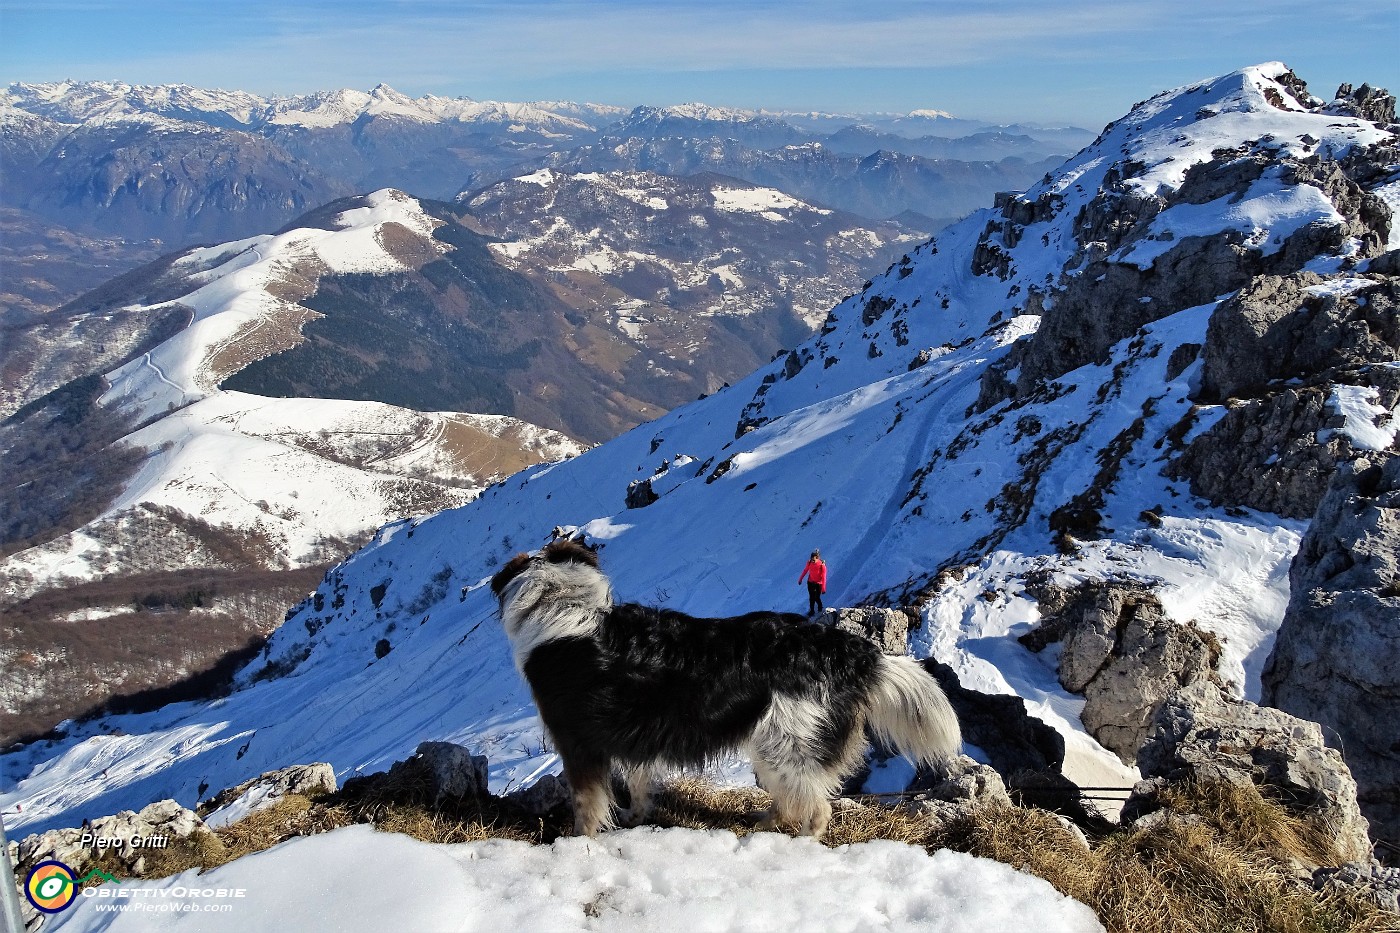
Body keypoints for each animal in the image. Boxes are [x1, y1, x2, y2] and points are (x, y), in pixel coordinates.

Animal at [492, 537, 963, 834]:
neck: (562, 606)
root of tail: (849, 650)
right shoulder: (633, 738)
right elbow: (639, 784)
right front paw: (635, 818)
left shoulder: (578, 743)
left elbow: (586, 805)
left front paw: (579, 843)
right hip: (774, 747)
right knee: (798, 799)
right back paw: (765, 822)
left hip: (786, 745)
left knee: (817, 809)